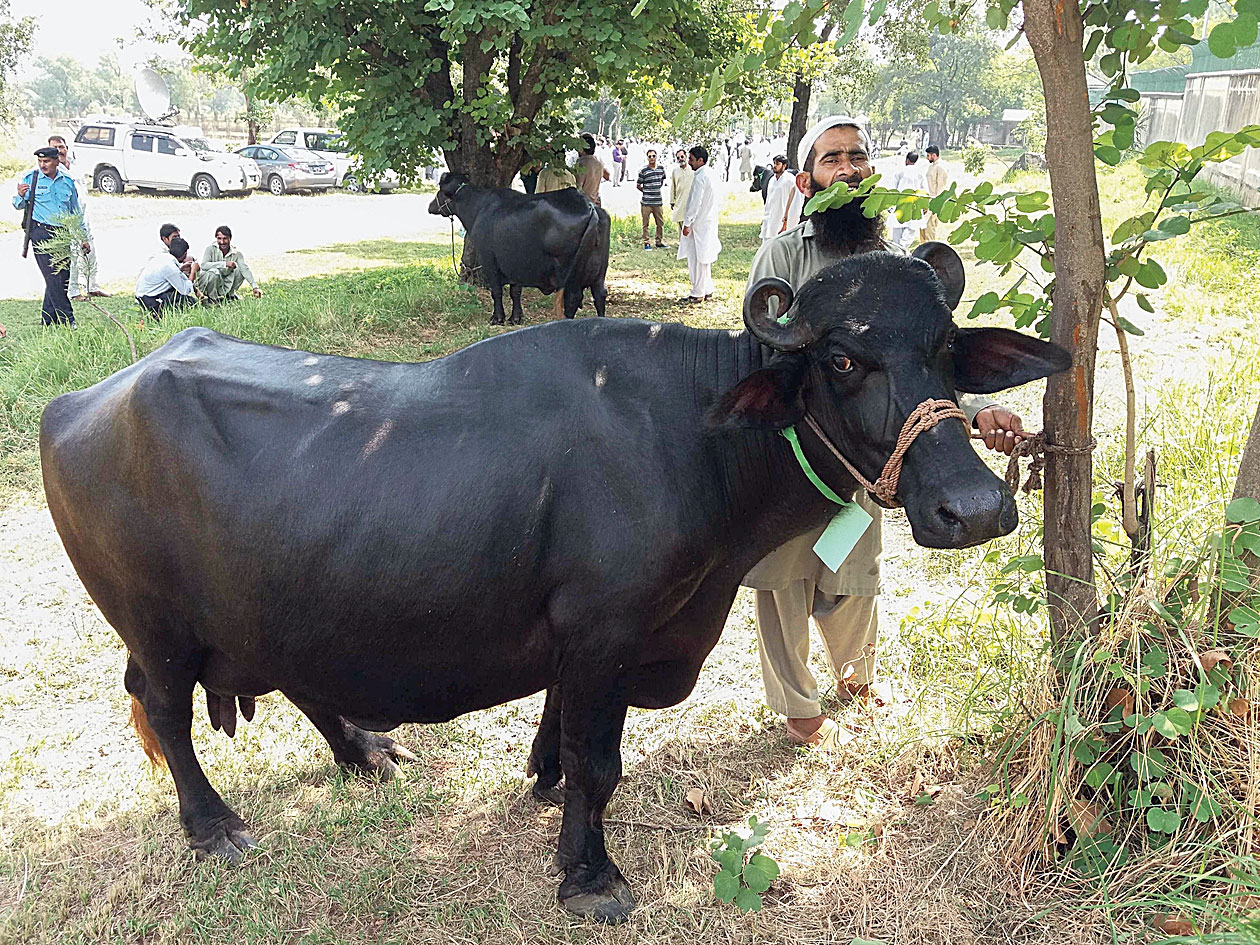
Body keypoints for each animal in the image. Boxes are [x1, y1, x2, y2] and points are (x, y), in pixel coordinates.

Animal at [41, 242, 1069, 923]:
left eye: (946, 348)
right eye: (845, 358)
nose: (975, 507)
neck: (692, 437)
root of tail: (83, 400)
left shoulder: (583, 637)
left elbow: (560, 728)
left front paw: (540, 778)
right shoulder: (607, 629)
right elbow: (599, 761)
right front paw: (590, 874)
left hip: (273, 606)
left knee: (295, 678)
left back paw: (366, 748)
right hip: (156, 630)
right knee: (168, 715)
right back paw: (215, 824)